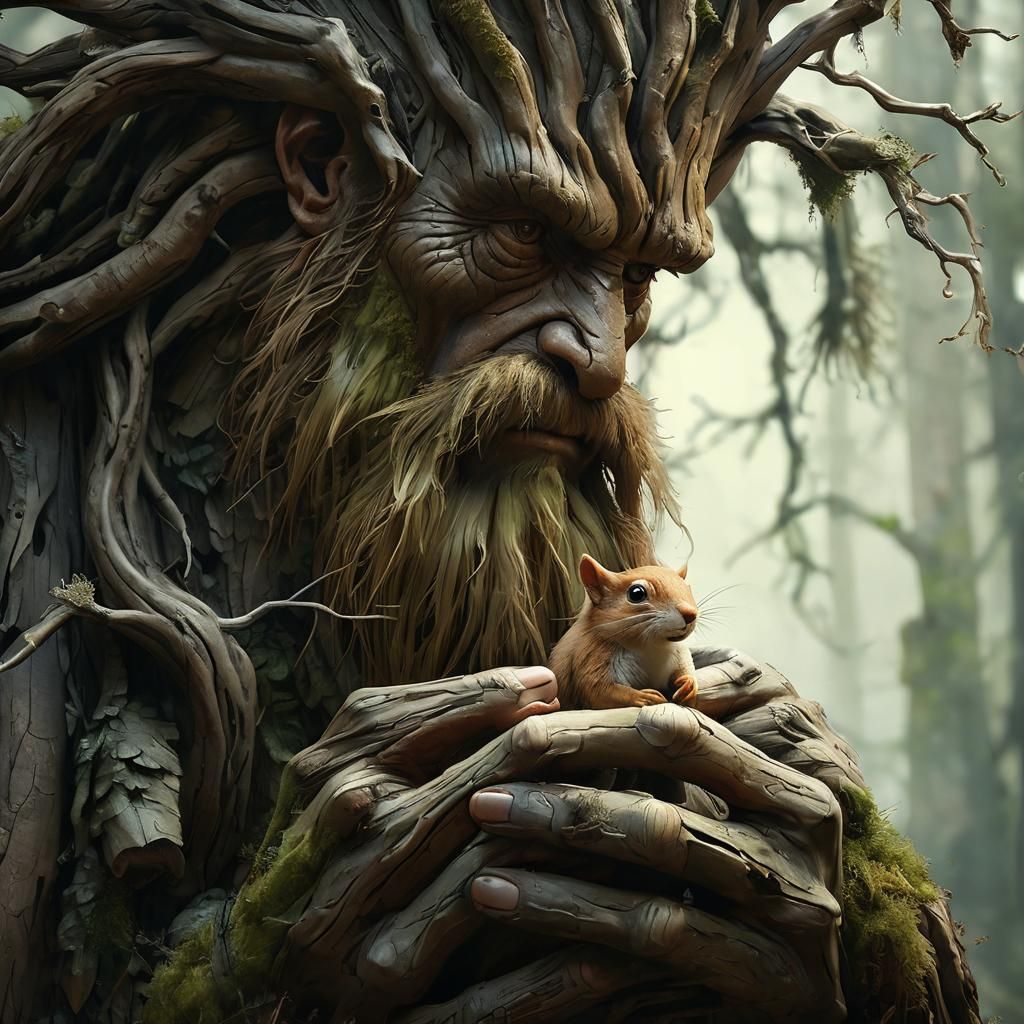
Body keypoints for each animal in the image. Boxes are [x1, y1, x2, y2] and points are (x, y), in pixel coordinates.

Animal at [549, 553, 700, 711]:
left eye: (688, 588)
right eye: (636, 594)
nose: (691, 614)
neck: (652, 645)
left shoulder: (680, 654)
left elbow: (686, 668)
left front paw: (689, 685)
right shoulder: (591, 656)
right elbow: (599, 691)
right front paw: (643, 696)